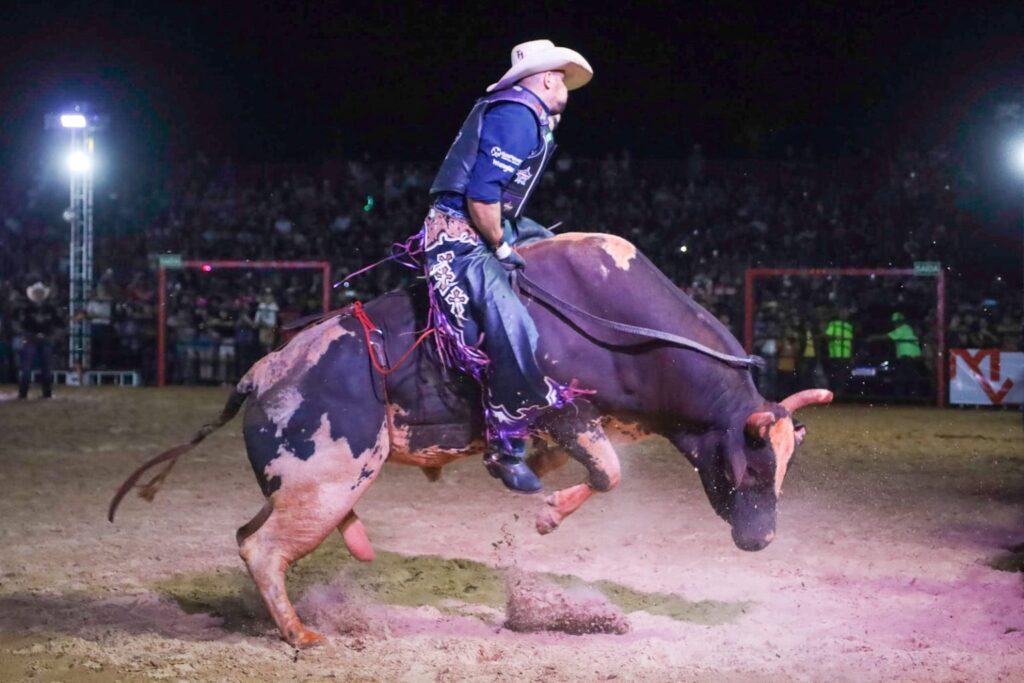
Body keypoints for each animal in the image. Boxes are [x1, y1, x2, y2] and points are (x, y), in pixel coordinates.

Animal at [110, 233, 831, 647]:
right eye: (754, 463)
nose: (762, 539)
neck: (624, 325)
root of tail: (259, 372)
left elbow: (596, 467)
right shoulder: (561, 405)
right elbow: (607, 470)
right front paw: (546, 513)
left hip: (300, 489)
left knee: (249, 534)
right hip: (322, 485)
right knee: (262, 549)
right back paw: (302, 633)